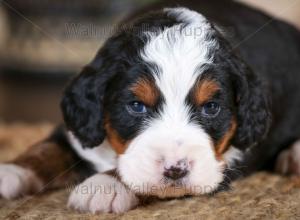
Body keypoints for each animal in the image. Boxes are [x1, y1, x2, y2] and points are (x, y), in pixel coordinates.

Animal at [0, 0, 300, 214]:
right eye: (137, 106)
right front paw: (10, 172)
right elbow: (44, 150)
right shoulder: (76, 130)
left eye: (211, 107)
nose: (176, 169)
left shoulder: (224, 163)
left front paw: (106, 184)